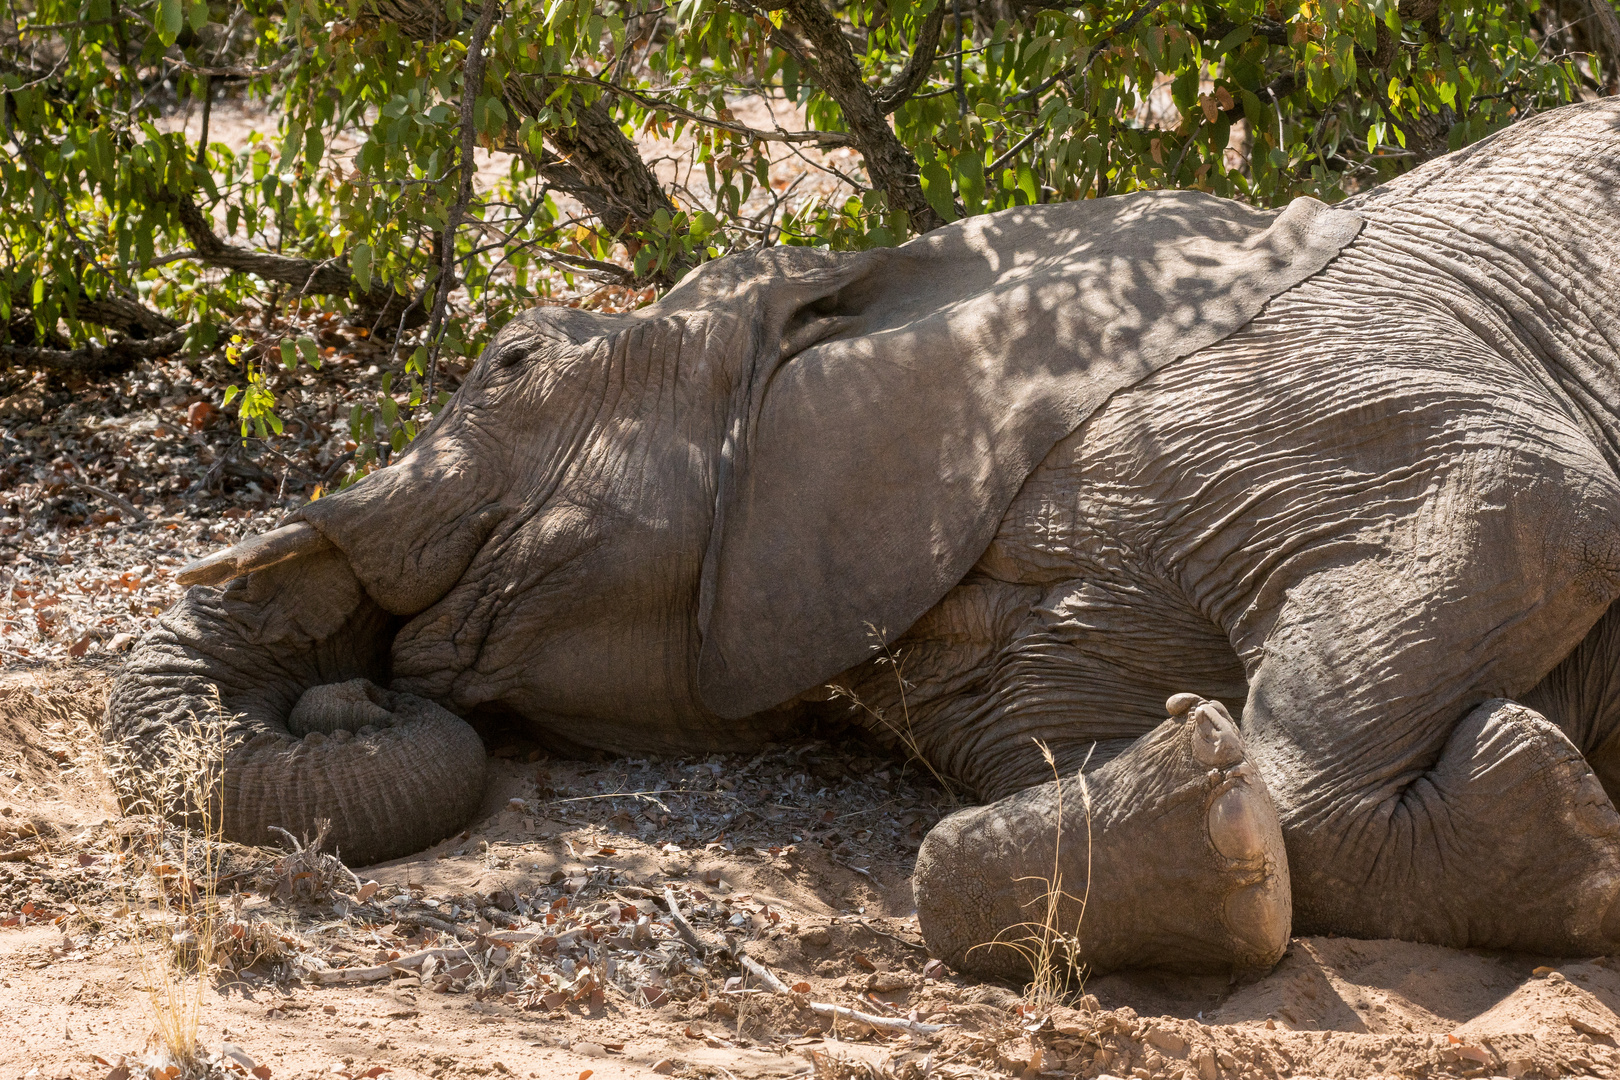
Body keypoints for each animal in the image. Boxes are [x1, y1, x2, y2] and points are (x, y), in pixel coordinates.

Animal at [104, 99, 1620, 977]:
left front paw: (1556, 820)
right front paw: (1213, 808)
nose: (345, 691)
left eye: (512, 364)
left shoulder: (1276, 385)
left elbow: (1541, 502)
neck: (882, 281)